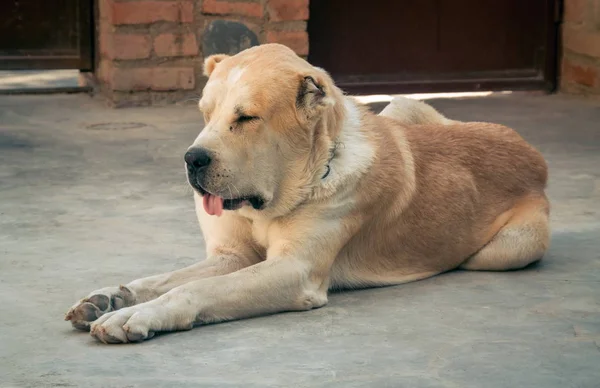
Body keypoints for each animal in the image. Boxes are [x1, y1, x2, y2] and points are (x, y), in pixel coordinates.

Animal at [64, 44, 548, 344]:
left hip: (509, 248)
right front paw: (111, 298)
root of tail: (533, 151)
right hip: (400, 106)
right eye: (205, 114)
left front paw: (134, 316)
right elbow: (163, 279)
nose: (192, 159)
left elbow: (194, 290)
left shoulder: (293, 271)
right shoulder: (232, 257)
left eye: (246, 118)